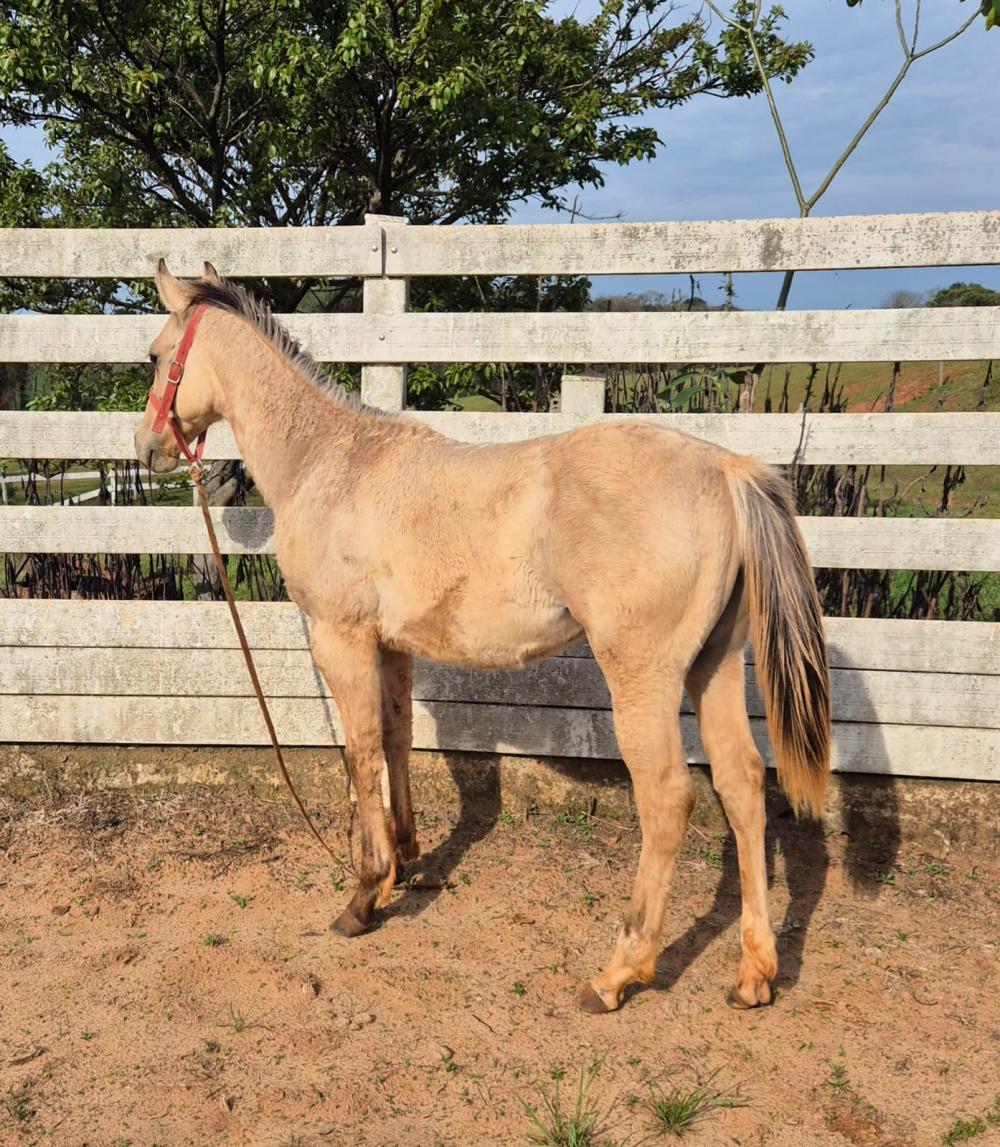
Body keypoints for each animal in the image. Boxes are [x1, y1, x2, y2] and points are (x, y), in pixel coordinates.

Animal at [135, 260, 830, 1014]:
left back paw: (618, 973)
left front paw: (363, 896)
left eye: (155, 356)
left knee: (669, 797)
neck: (330, 462)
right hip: (714, 666)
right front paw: (405, 861)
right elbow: (397, 740)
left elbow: (360, 752)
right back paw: (755, 972)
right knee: (742, 783)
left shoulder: (340, 638)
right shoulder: (393, 646)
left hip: (643, 675)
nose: (146, 449)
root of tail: (727, 471)